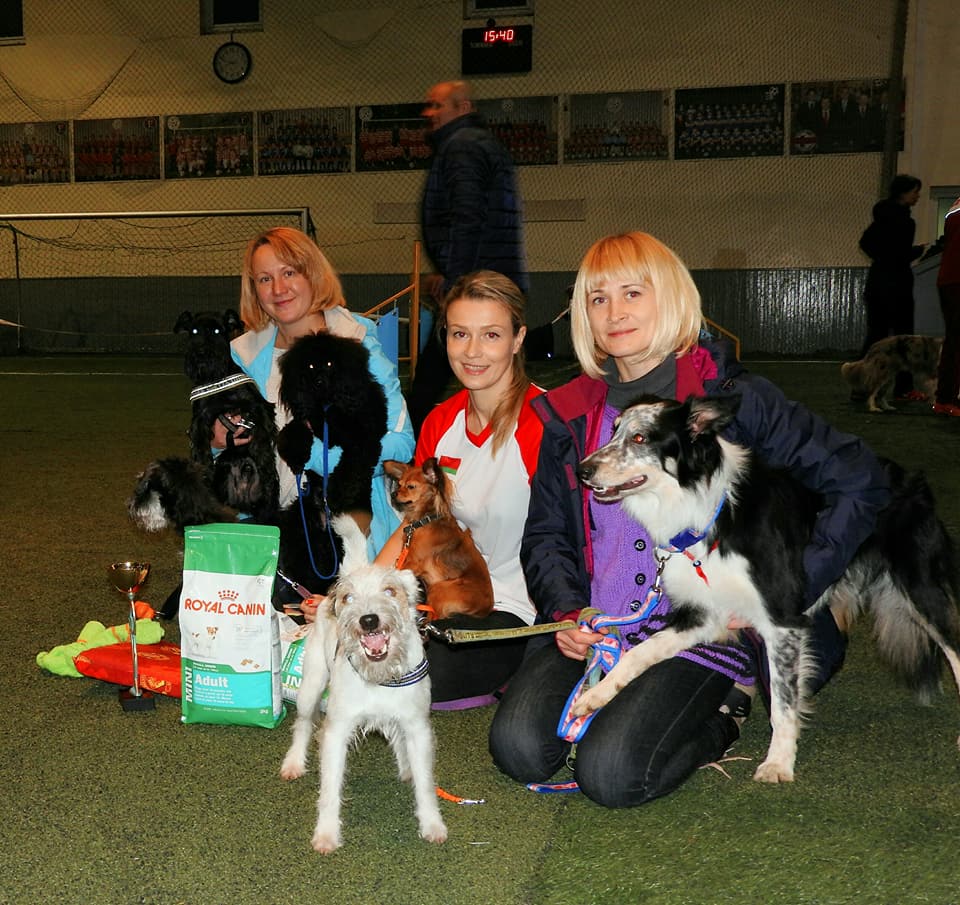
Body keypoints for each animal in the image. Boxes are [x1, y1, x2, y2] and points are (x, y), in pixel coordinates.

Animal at [279, 514, 447, 853]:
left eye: (391, 591)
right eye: (348, 598)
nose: (368, 620)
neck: (380, 676)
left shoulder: (418, 727)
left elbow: (426, 783)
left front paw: (432, 824)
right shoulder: (337, 731)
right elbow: (330, 789)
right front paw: (326, 834)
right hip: (310, 686)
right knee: (302, 724)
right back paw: (293, 763)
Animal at [383, 457, 494, 620]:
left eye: (411, 487)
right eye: (399, 484)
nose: (393, 494)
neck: (425, 520)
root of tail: (485, 610)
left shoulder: (412, 562)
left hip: (439, 588)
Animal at [574, 394, 960, 783]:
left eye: (640, 438)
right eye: (614, 430)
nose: (582, 471)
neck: (711, 513)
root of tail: (911, 477)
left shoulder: (782, 620)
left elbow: (782, 701)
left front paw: (778, 763)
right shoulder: (705, 615)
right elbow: (640, 652)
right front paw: (595, 696)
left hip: (922, 590)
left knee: (955, 649)